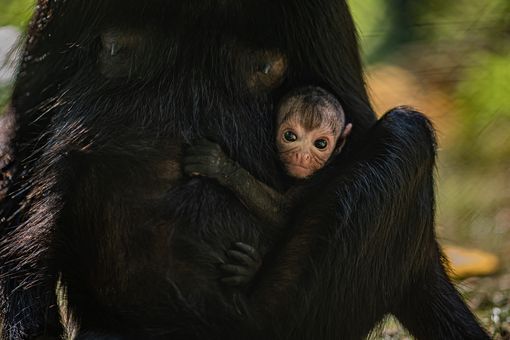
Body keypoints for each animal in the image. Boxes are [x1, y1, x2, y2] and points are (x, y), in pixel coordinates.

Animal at [182, 86, 350, 288]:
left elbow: (283, 215)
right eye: (290, 136)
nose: (302, 155)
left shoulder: (320, 176)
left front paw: (220, 166)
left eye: (321, 144)